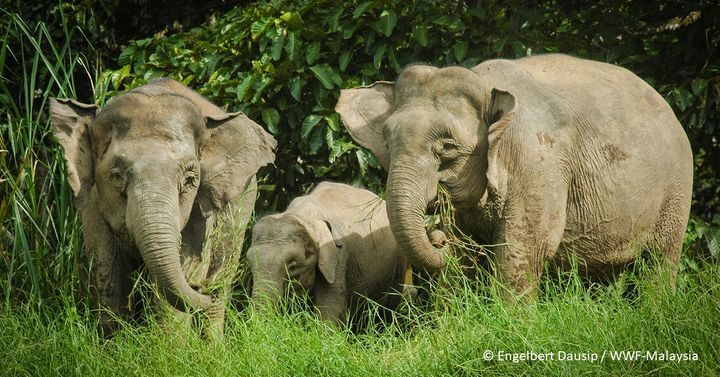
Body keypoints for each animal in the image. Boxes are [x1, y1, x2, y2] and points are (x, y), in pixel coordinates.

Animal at [50, 78, 276, 334]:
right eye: (116, 176)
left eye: (189, 180)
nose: (200, 289)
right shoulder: (93, 204)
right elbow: (108, 271)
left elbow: (181, 274)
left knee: (222, 277)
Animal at [246, 181, 408, 324]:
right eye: (250, 264)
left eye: (293, 265)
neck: (302, 217)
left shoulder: (339, 258)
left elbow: (330, 313)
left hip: (399, 259)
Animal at [334, 53, 696, 296]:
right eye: (386, 141)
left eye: (448, 147)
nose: (436, 236)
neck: (484, 83)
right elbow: (466, 256)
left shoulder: (537, 162)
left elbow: (523, 251)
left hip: (677, 190)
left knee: (659, 261)